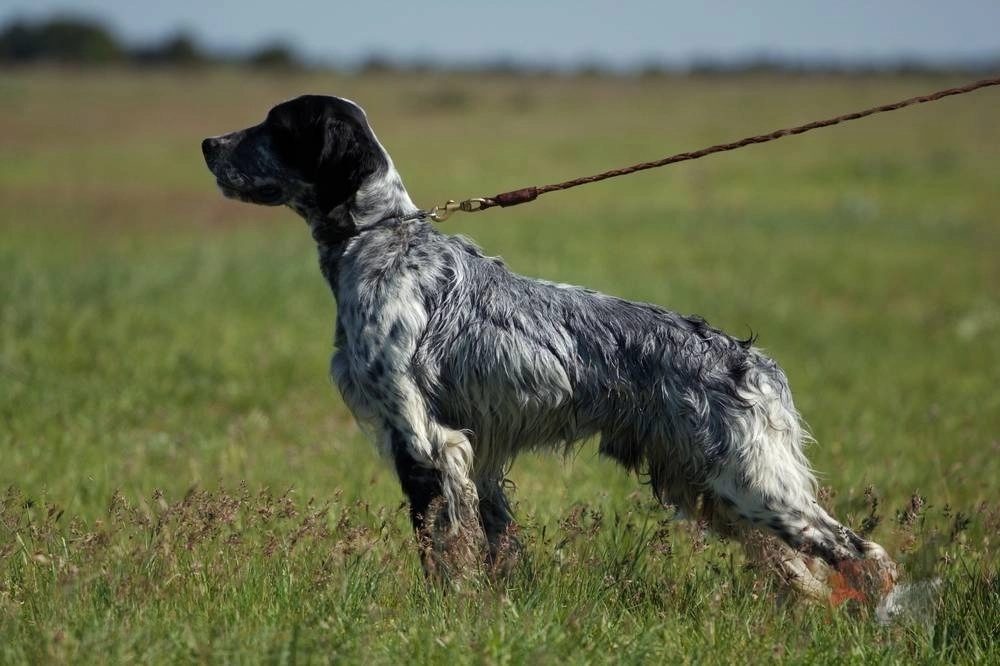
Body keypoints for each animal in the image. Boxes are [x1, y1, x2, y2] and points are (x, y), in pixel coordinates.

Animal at [199, 96, 896, 600]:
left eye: (275, 124)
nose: (207, 144)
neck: (377, 241)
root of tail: (751, 361)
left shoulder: (423, 439)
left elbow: (440, 547)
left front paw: (447, 611)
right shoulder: (476, 455)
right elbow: (494, 541)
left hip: (752, 485)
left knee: (866, 555)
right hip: (712, 488)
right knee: (803, 572)